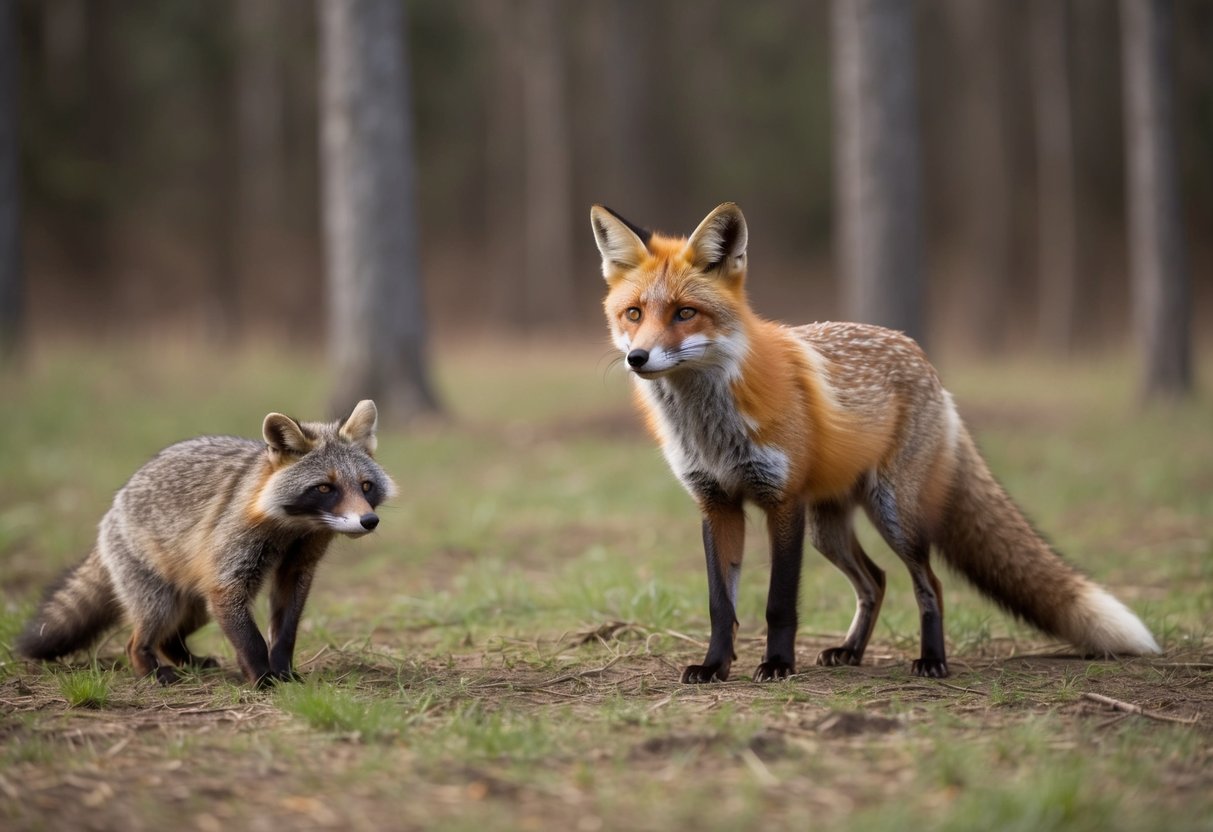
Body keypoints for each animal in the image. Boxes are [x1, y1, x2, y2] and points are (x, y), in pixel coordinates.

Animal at [15, 400, 395, 687]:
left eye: (364, 486)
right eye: (325, 488)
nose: (369, 521)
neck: (290, 531)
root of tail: (114, 506)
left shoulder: (296, 571)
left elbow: (283, 635)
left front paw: (284, 674)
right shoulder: (227, 584)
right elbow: (252, 642)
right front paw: (263, 680)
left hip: (196, 607)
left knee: (169, 640)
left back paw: (190, 662)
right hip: (163, 604)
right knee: (135, 643)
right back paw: (154, 673)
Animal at [591, 201, 1161, 682]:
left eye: (685, 313)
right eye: (634, 314)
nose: (637, 358)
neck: (710, 427)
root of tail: (926, 363)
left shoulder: (782, 502)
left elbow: (779, 603)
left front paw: (777, 665)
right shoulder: (717, 504)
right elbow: (720, 605)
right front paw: (714, 667)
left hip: (893, 514)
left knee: (928, 584)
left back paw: (932, 660)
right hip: (829, 529)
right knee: (876, 581)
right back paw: (851, 651)